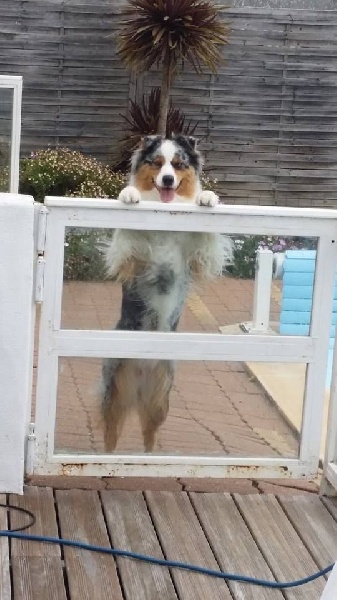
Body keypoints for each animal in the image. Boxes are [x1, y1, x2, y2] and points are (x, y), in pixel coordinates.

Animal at [100, 134, 231, 452]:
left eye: (179, 165)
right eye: (157, 163)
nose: (168, 180)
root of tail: (142, 374)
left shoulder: (200, 256)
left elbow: (208, 238)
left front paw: (207, 197)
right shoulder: (128, 256)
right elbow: (125, 233)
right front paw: (129, 193)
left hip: (160, 400)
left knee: (150, 435)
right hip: (115, 389)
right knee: (111, 432)